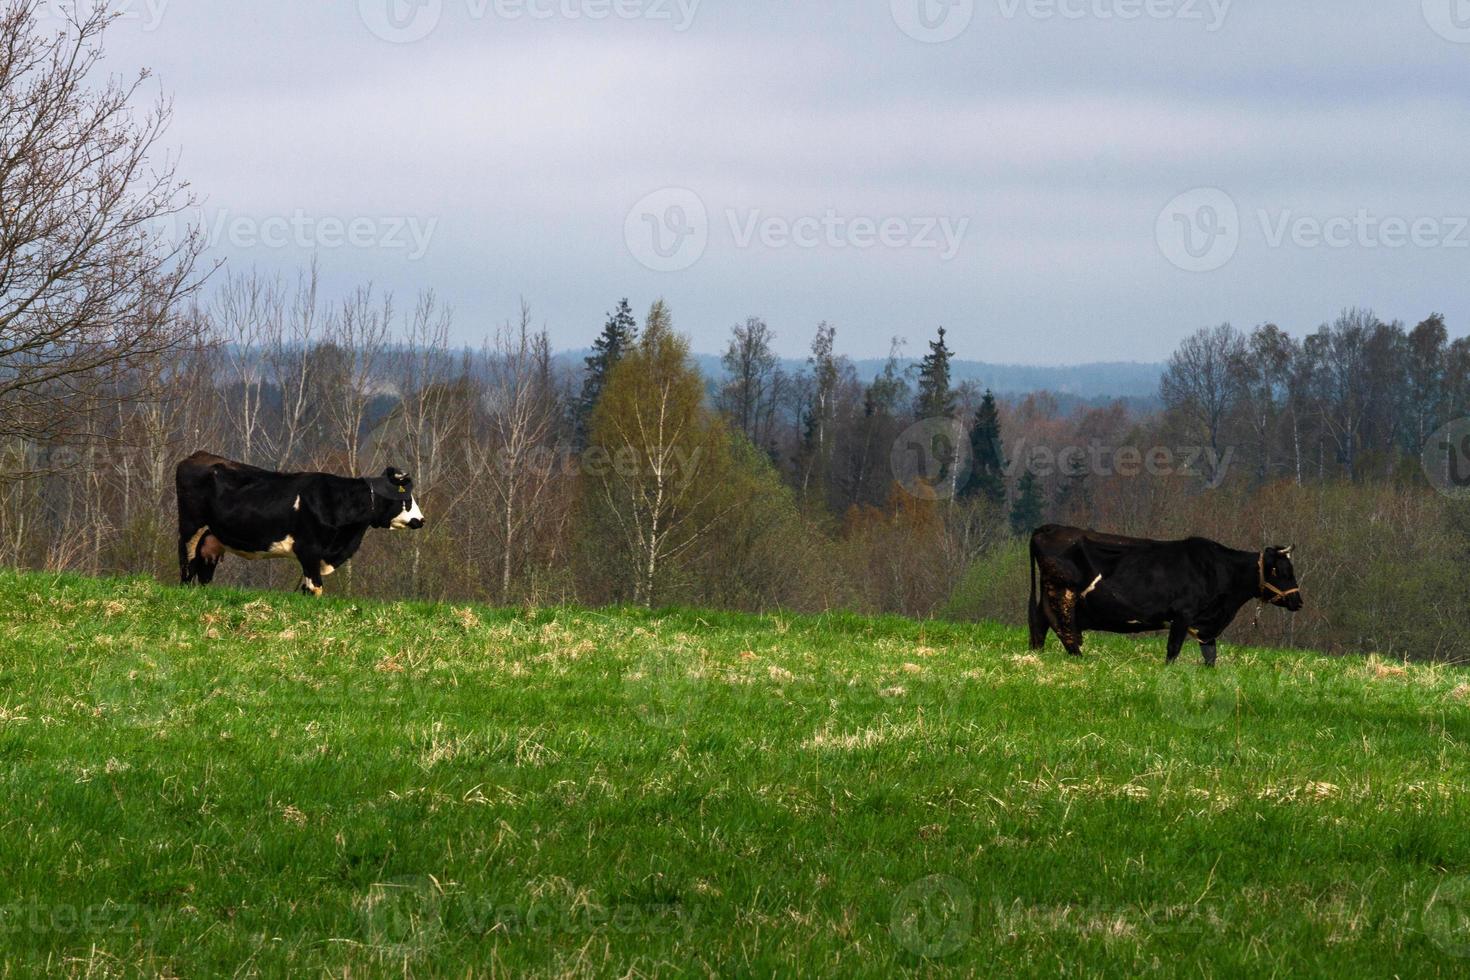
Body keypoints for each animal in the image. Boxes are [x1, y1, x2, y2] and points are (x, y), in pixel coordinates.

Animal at [174, 455, 426, 599]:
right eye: (407, 497)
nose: (421, 520)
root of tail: (198, 455)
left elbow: (306, 588)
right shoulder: (309, 549)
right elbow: (315, 588)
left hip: (212, 539)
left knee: (204, 572)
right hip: (190, 528)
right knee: (187, 564)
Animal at [1029, 528, 1305, 667]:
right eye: (1281, 571)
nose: (1298, 601)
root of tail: (1047, 528)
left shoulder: (1206, 624)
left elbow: (1211, 656)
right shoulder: (1183, 615)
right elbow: (1173, 649)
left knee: (1039, 625)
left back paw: (1037, 655)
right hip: (1062, 595)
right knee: (1062, 627)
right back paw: (1077, 658)